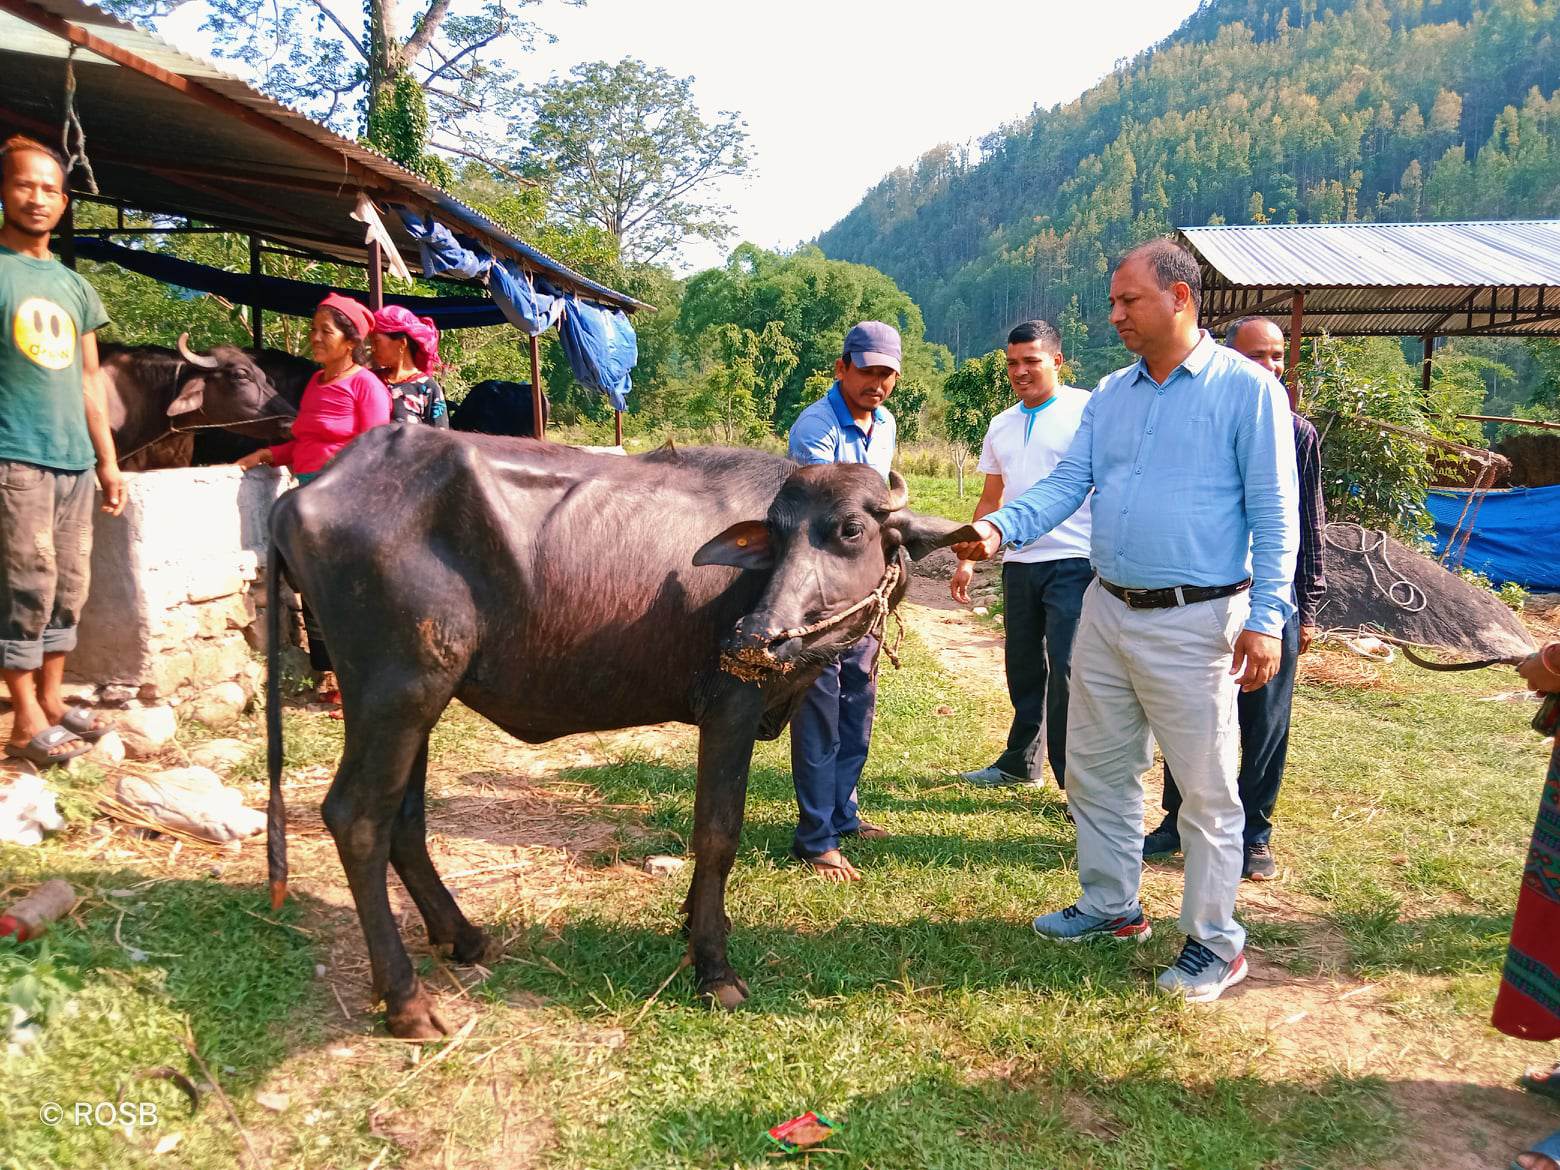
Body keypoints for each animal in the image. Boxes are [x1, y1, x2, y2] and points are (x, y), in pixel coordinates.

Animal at [268, 436, 973, 1042]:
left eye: (850, 530)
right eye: (776, 535)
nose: (755, 636)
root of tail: (304, 495)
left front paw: (695, 923)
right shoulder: (730, 710)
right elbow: (717, 833)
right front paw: (713, 966)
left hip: (419, 700)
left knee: (404, 819)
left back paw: (462, 937)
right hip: (394, 691)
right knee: (358, 817)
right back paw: (408, 1001)